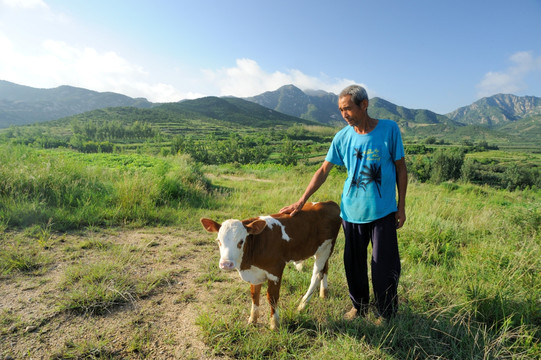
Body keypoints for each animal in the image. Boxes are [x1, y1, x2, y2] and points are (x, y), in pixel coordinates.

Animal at [200, 201, 340, 330]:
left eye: (241, 241)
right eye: (218, 241)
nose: (226, 264)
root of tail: (329, 203)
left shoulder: (275, 270)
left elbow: (272, 297)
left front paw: (274, 324)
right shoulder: (254, 274)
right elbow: (254, 295)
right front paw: (253, 319)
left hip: (326, 248)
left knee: (316, 275)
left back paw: (302, 305)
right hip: (322, 250)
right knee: (325, 269)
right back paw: (323, 293)